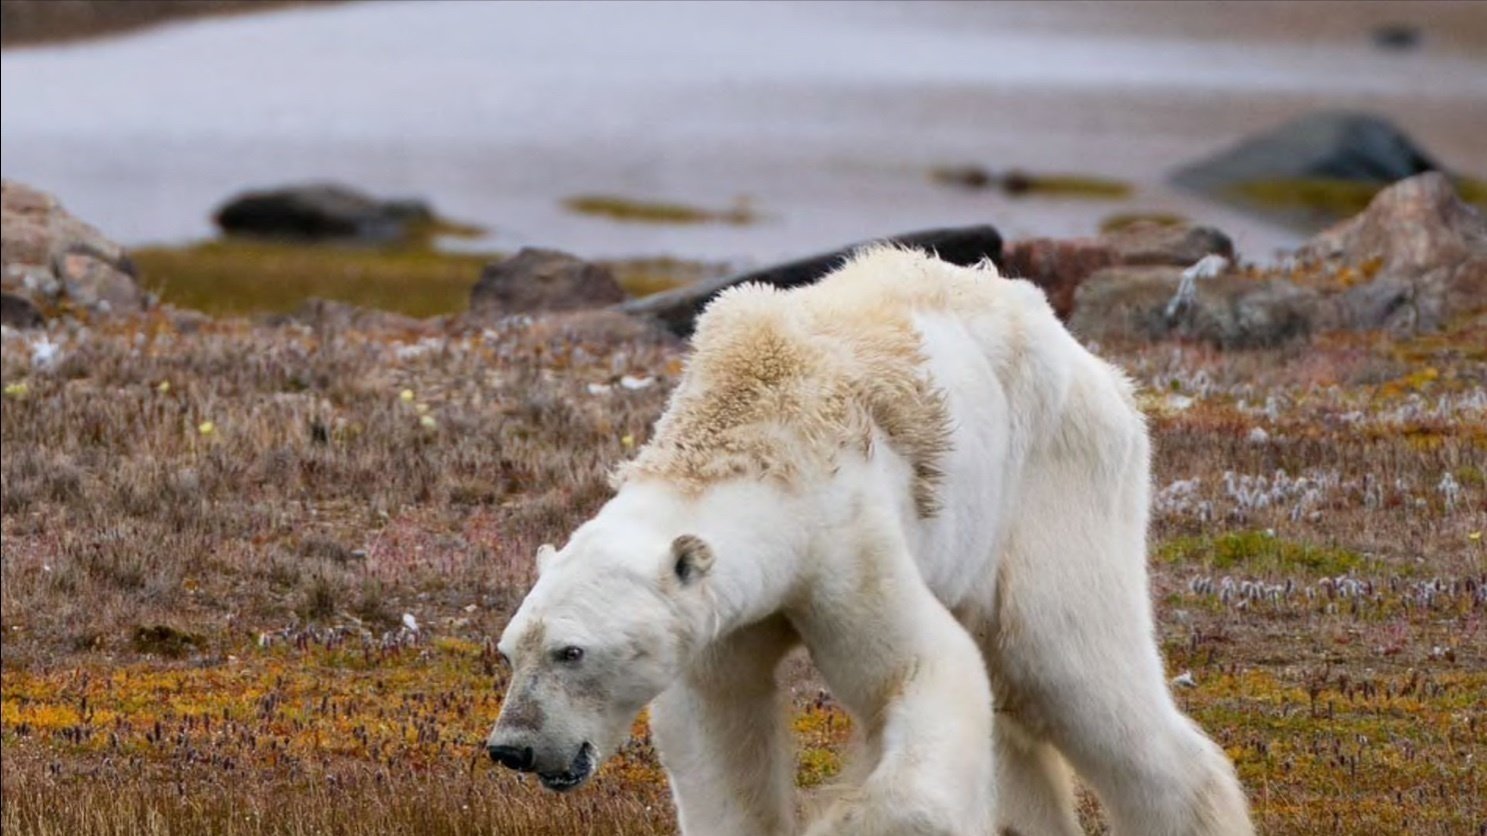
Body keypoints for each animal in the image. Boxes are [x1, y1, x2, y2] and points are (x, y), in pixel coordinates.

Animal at [486, 246, 1253, 836]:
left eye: (571, 651)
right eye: (510, 649)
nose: (512, 748)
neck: (750, 431)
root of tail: (1098, 368)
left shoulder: (843, 541)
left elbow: (919, 671)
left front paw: (841, 817)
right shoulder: (722, 614)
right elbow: (717, 724)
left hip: (1056, 478)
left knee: (1069, 661)